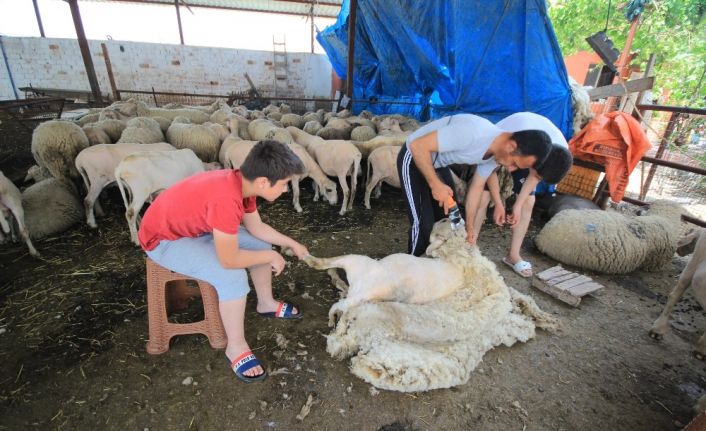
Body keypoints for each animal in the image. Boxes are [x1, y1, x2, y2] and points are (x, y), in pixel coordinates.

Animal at [302, 219, 556, 392]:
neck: (457, 259)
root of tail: (363, 286)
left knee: (332, 290)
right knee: (331, 281)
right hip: (356, 276)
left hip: (357, 271)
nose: (444, 217)